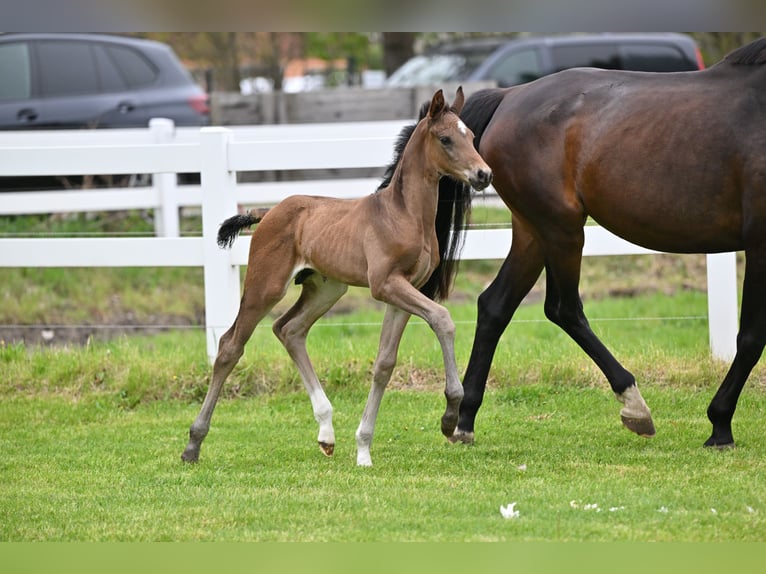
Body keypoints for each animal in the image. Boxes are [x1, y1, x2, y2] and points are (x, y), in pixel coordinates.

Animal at [181, 87, 492, 467]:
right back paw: (193, 444)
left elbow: (385, 362)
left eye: (472, 137)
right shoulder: (385, 285)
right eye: (446, 139)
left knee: (289, 329)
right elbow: (443, 318)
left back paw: (326, 434)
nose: (483, 174)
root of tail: (268, 212)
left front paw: (363, 448)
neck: (402, 214)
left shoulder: (406, 290)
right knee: (230, 346)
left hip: (326, 289)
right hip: (265, 285)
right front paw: (449, 418)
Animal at [439, 37, 766, 449]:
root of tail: (511, 96)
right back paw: (635, 406)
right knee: (562, 309)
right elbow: (752, 336)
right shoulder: (759, 242)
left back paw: (464, 420)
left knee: (495, 305)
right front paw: (720, 425)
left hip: (533, 231)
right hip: (561, 228)